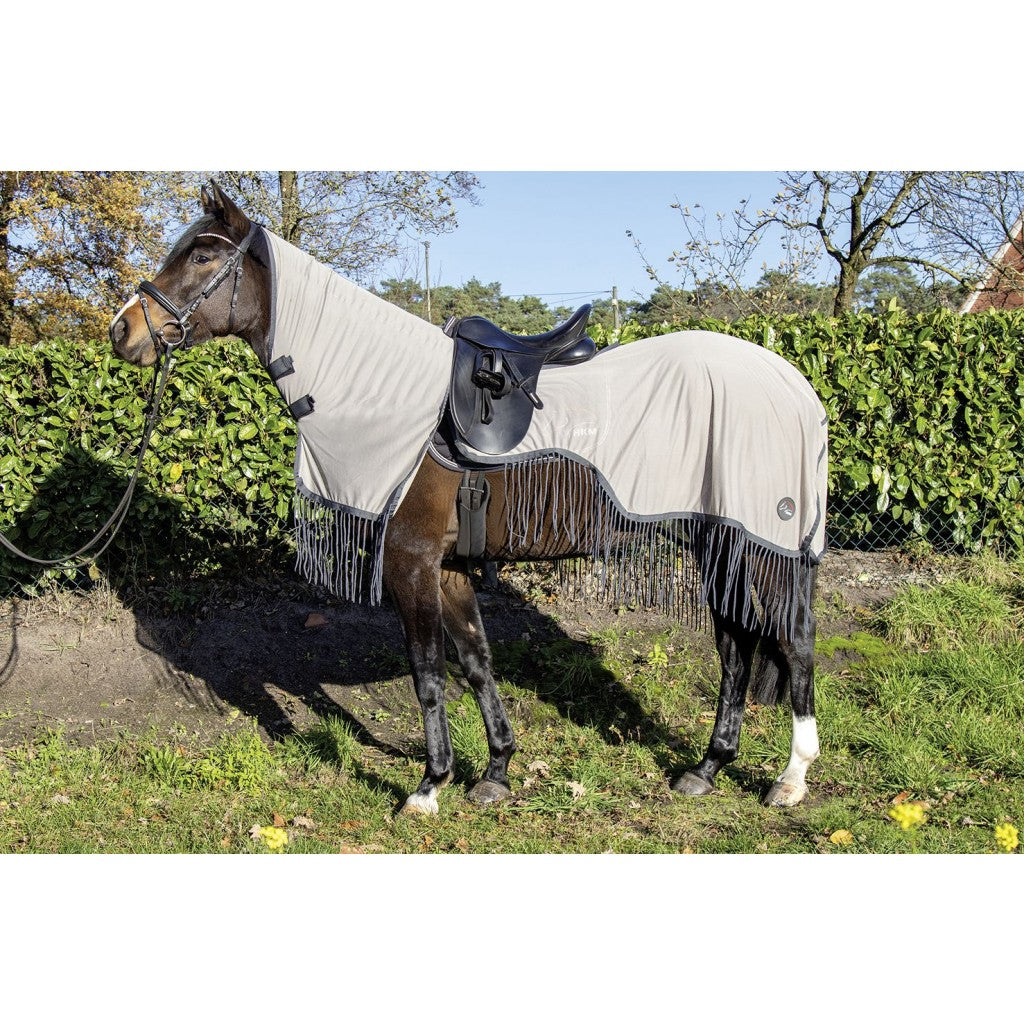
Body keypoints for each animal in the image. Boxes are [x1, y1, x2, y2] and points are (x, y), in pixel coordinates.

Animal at [109, 181, 824, 816]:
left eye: (202, 257)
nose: (123, 331)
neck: (384, 397)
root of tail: (792, 385)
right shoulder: (449, 569)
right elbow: (477, 664)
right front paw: (496, 772)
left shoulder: (411, 563)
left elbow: (428, 676)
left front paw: (429, 786)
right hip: (721, 542)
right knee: (736, 647)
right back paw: (706, 768)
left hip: (760, 544)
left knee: (792, 644)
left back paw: (790, 781)